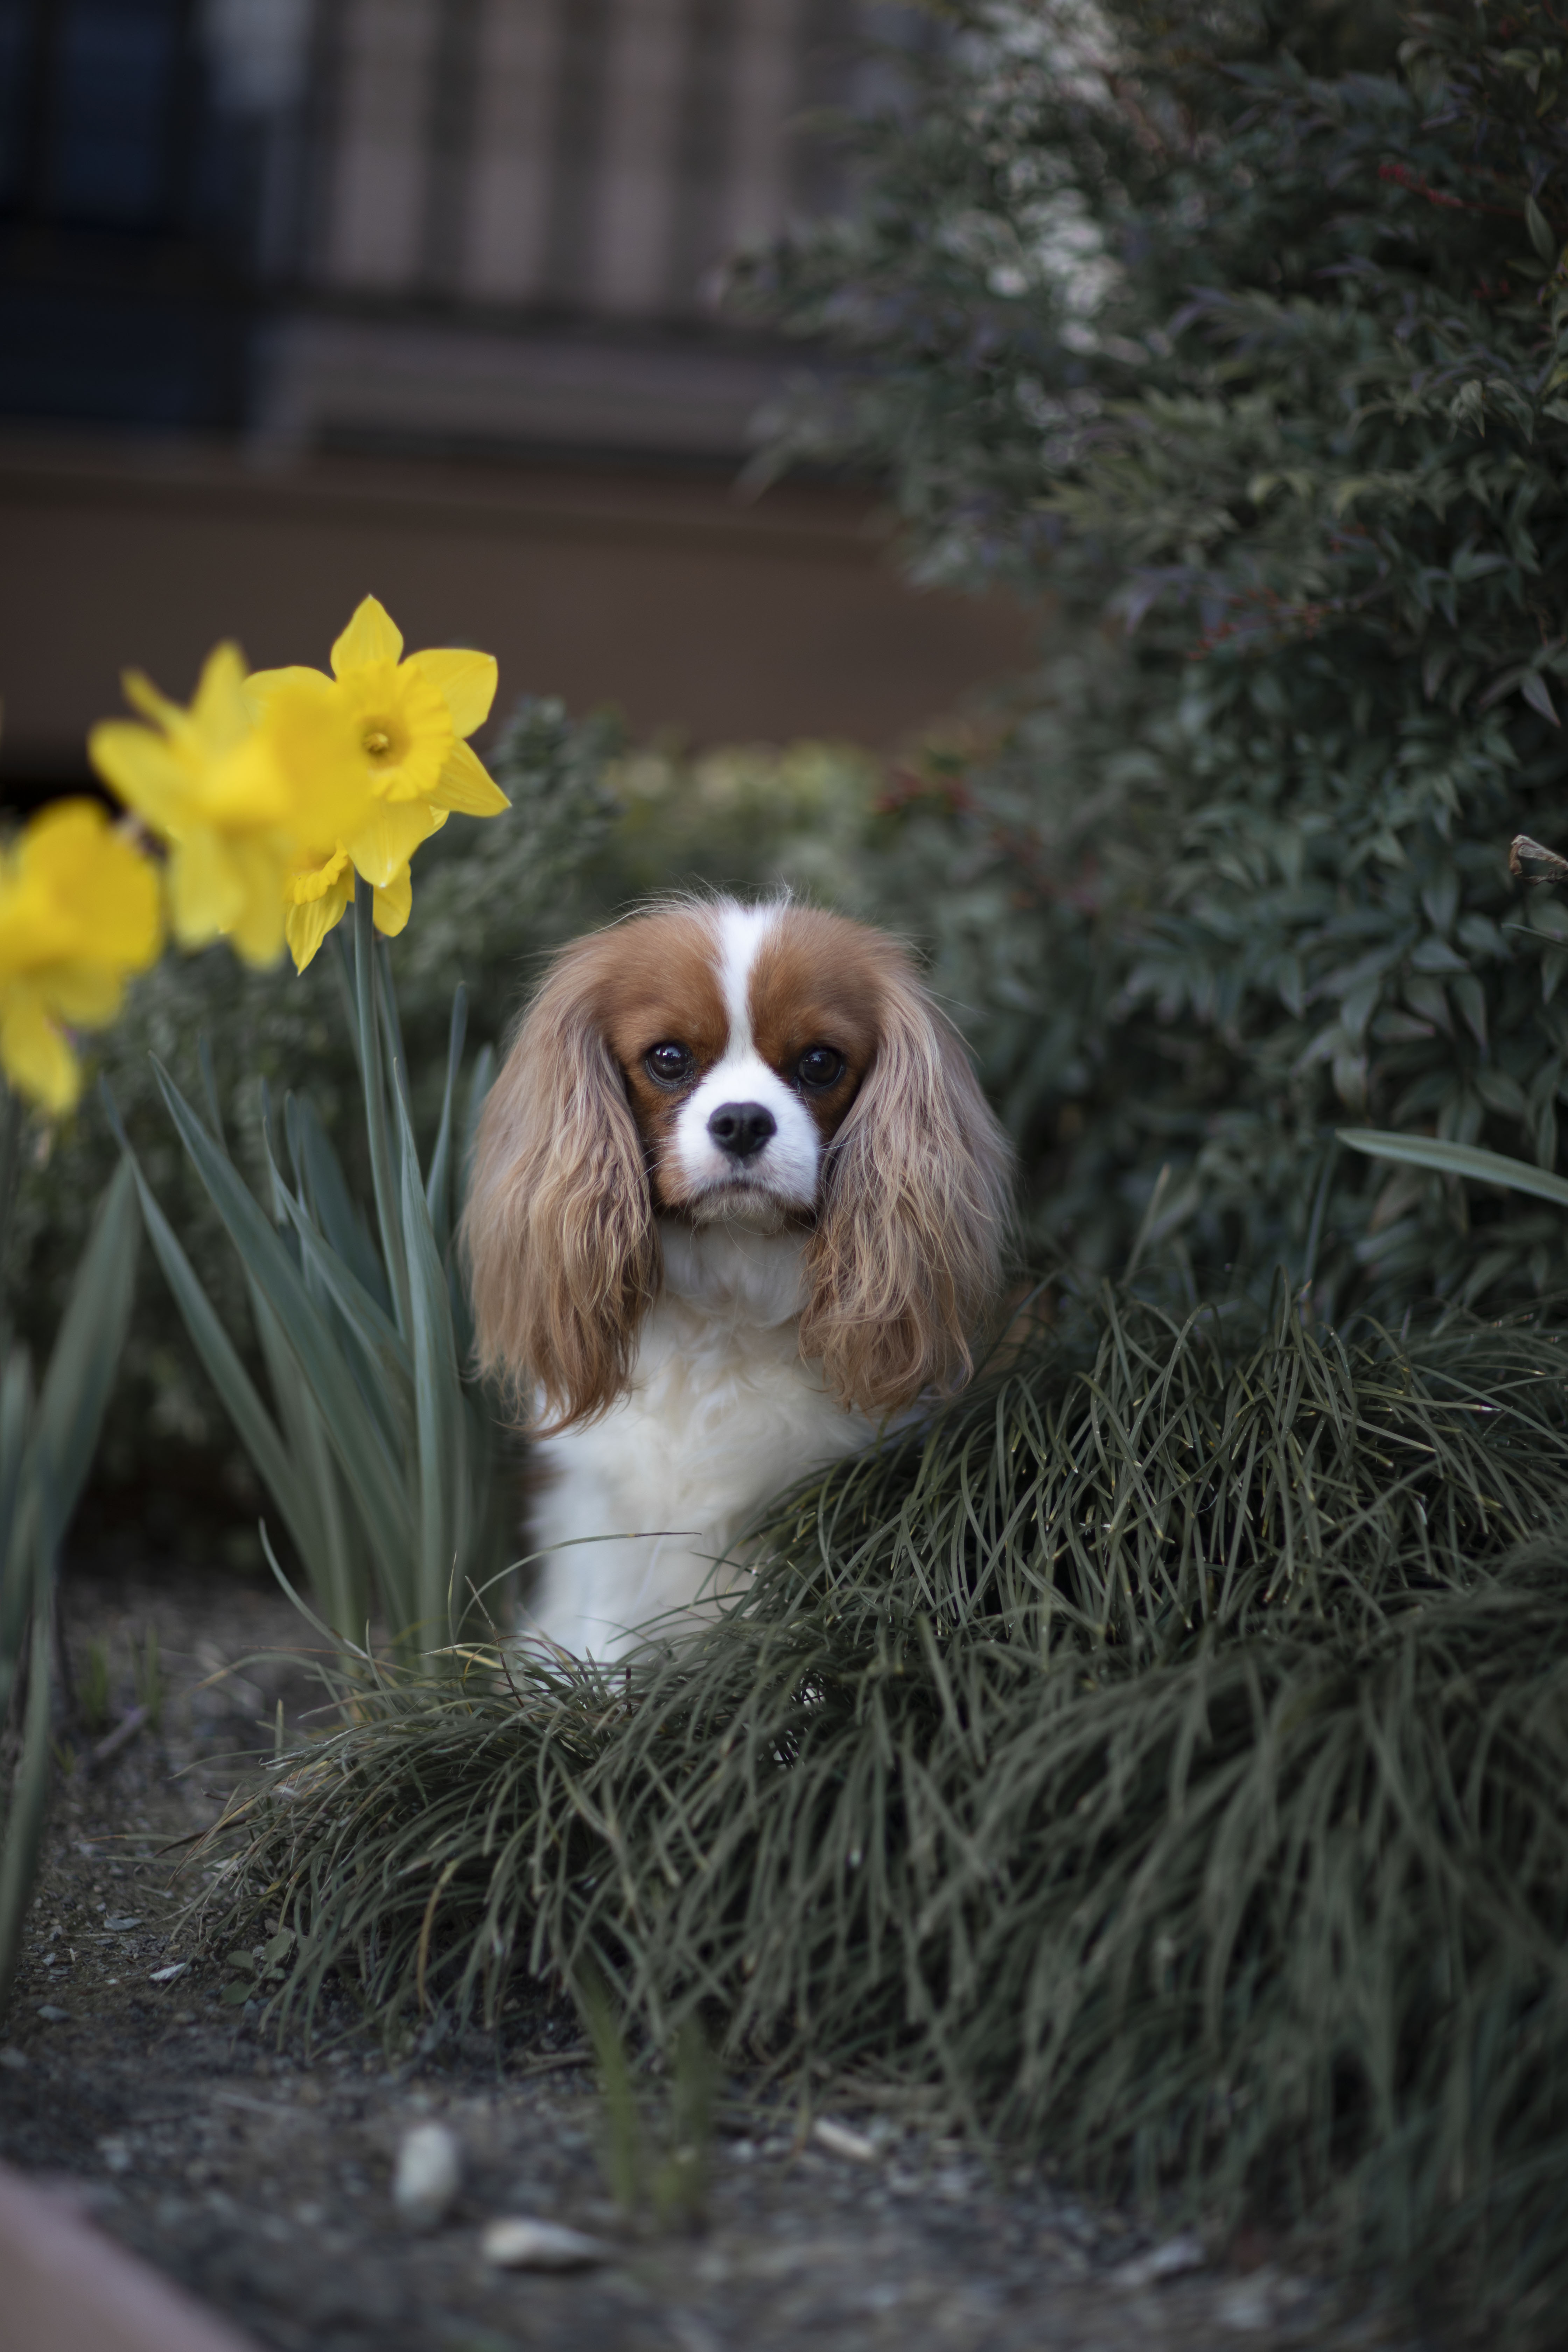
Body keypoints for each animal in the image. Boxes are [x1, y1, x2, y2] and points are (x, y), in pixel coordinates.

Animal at [464, 896, 1013, 1658]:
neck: (730, 1296)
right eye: (668, 1059)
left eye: (820, 1063)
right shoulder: (613, 1527)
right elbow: (613, 1635)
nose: (744, 1122)